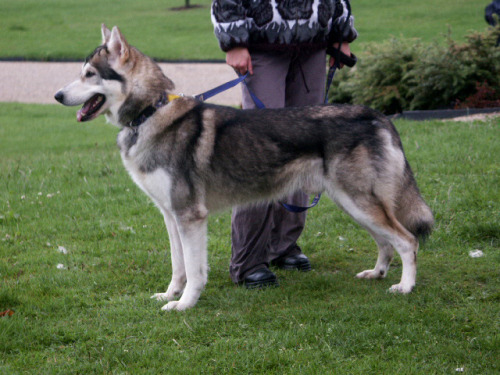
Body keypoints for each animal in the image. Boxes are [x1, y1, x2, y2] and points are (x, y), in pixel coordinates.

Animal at [53, 24, 434, 312]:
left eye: (89, 75)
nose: (57, 96)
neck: (150, 113)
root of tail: (375, 114)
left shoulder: (191, 216)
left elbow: (195, 271)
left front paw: (184, 305)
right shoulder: (170, 216)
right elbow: (178, 267)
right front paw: (169, 295)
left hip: (359, 203)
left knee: (407, 240)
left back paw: (405, 287)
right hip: (353, 205)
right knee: (386, 242)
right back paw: (378, 274)